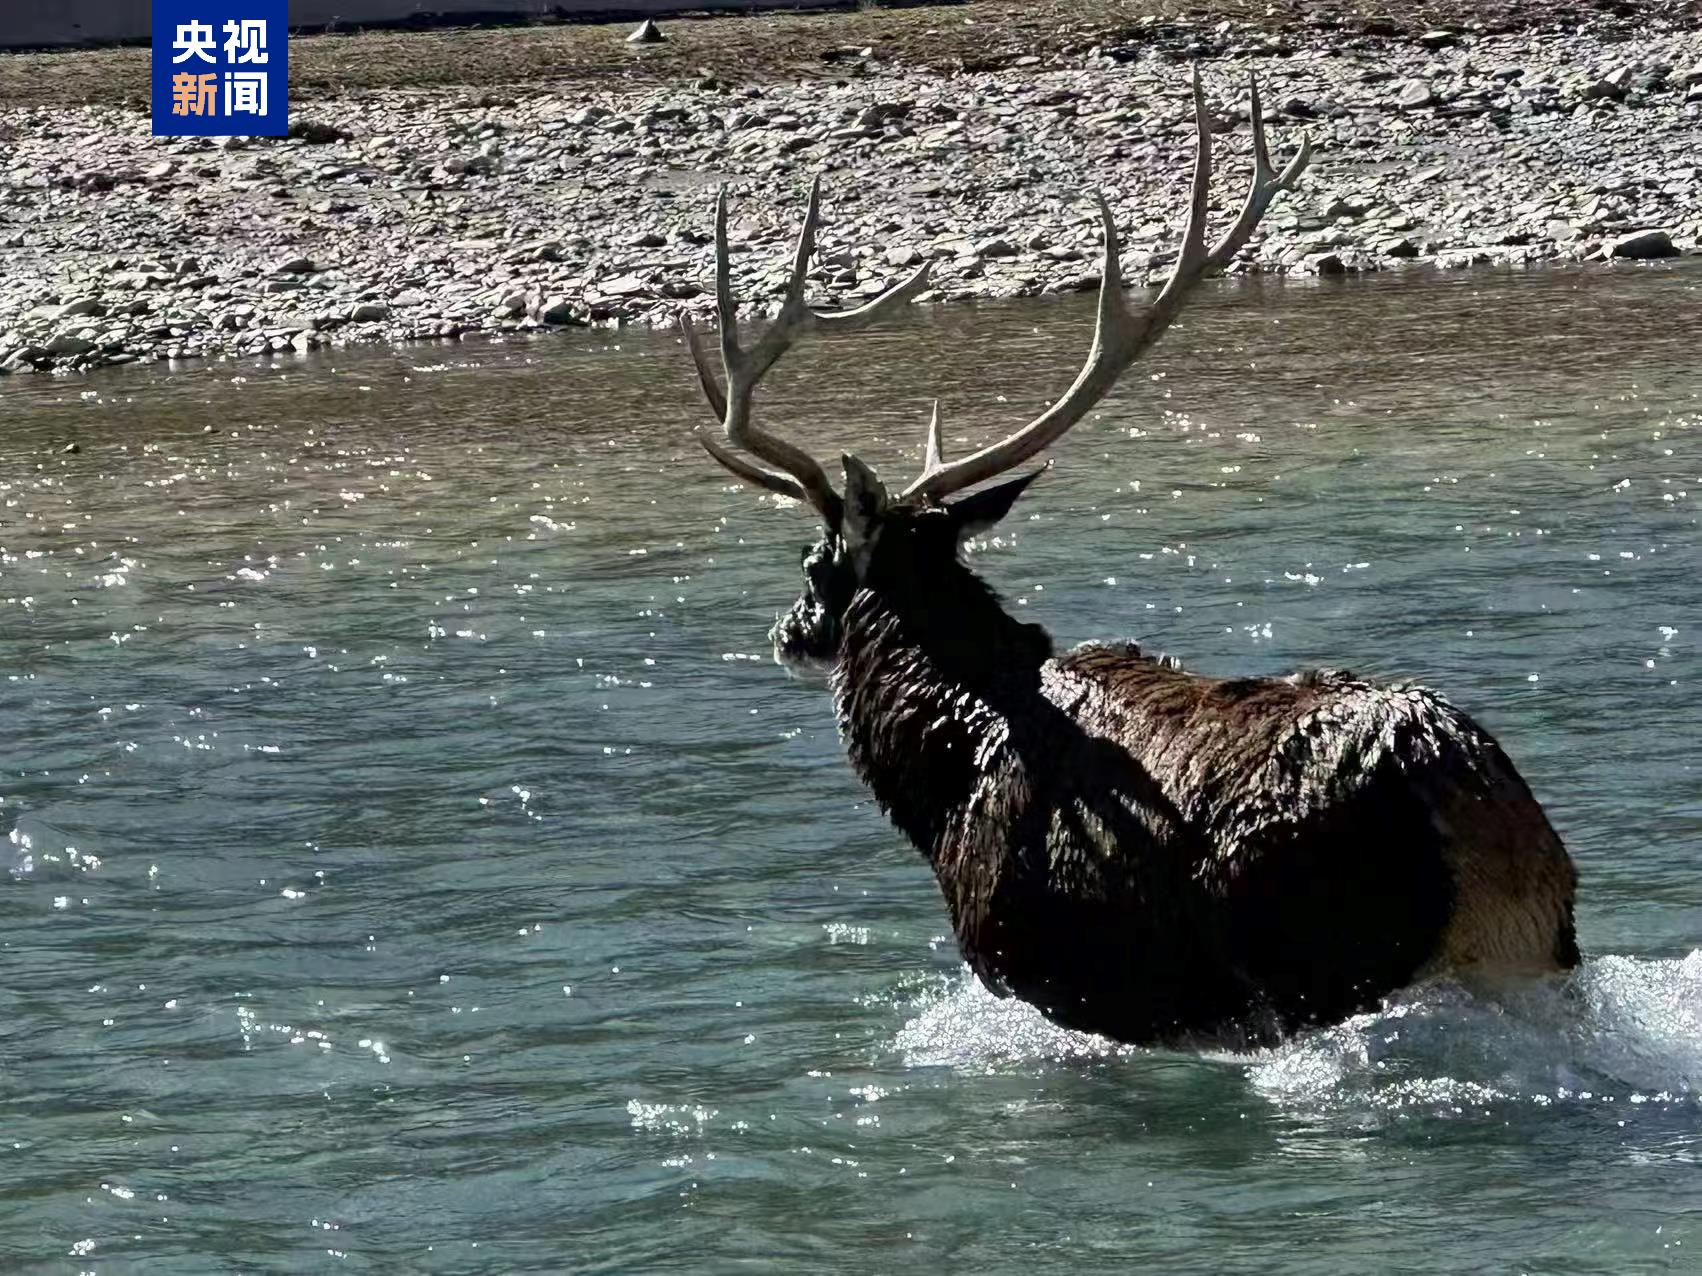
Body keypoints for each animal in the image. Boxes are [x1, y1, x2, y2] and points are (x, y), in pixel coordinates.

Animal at [677, 69, 1579, 1048]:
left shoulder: (1055, 978)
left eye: (816, 563)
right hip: (1549, 960)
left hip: (1324, 968)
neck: (944, 775)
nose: (787, 632)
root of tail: (1491, 828)